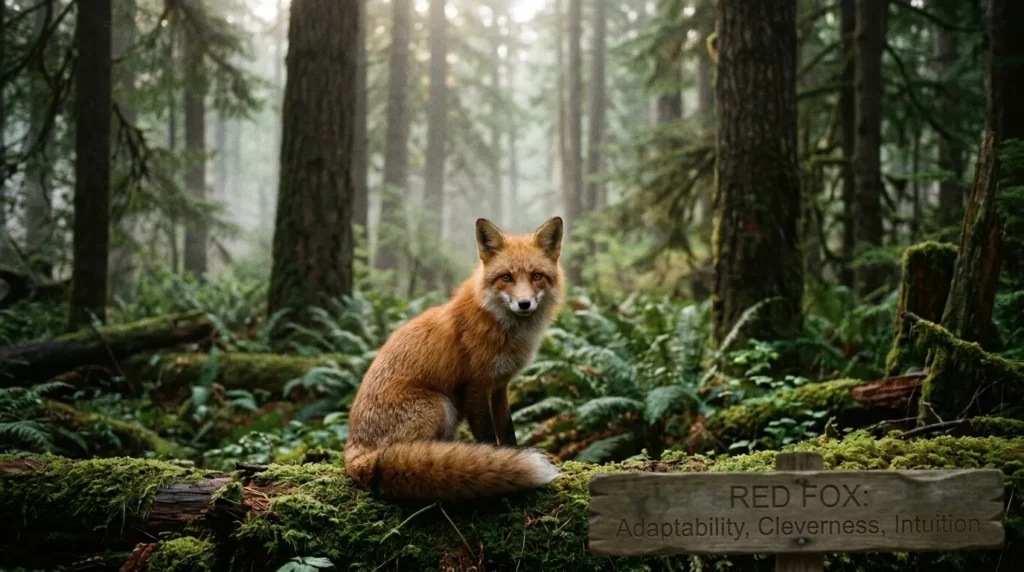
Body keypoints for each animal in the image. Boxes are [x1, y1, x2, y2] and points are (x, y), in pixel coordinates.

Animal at [344, 216, 565, 501]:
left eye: (536, 276)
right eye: (506, 277)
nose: (524, 304)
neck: (499, 326)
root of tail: (355, 453)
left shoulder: (499, 386)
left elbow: (507, 432)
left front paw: (511, 456)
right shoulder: (475, 387)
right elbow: (487, 438)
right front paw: (496, 468)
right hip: (439, 406)